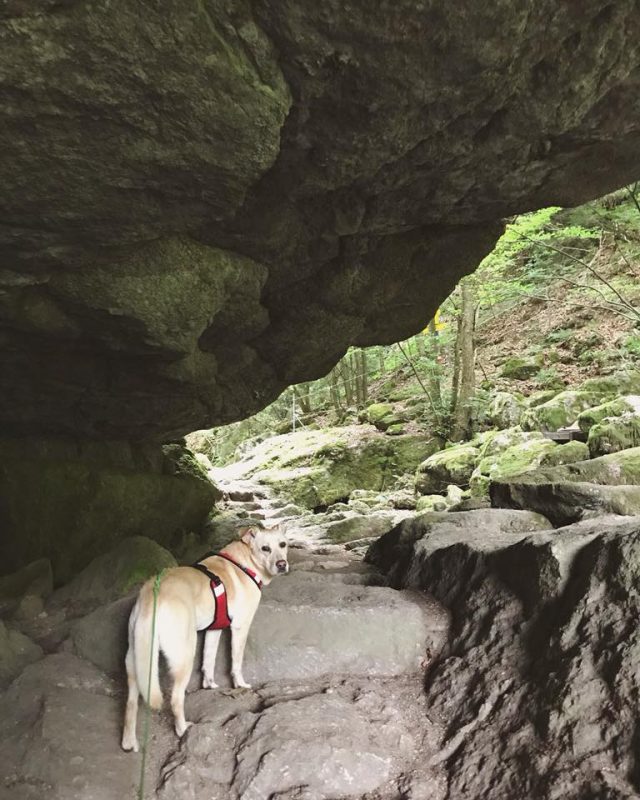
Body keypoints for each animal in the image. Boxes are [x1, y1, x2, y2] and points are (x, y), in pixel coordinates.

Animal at [120, 524, 290, 752]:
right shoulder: (240, 627)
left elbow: (208, 661)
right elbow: (236, 662)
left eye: (283, 544)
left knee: (130, 703)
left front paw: (209, 685)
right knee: (175, 699)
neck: (243, 562)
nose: (282, 565)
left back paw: (129, 742)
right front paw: (240, 684)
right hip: (184, 655)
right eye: (265, 548)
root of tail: (152, 597)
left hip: (135, 661)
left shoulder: (213, 630)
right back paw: (183, 729)